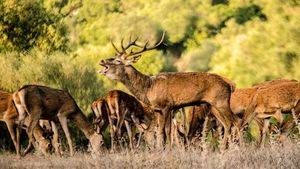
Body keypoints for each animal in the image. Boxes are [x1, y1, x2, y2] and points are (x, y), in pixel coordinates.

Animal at [98, 32, 239, 148]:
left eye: (117, 60)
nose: (102, 60)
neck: (148, 88)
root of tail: (230, 85)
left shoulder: (165, 106)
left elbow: (163, 132)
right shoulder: (159, 109)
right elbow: (165, 132)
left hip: (221, 101)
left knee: (235, 121)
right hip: (213, 106)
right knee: (227, 124)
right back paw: (224, 149)